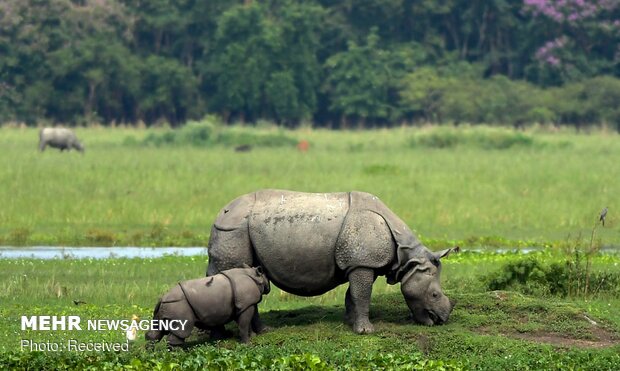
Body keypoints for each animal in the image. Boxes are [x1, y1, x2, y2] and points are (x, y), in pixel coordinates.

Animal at [206, 190, 458, 336]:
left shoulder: (361, 262)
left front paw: (350, 323)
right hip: (234, 230)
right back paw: (222, 335)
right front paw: (366, 331)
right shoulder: (362, 262)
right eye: (434, 295)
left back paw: (260, 331)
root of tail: (221, 212)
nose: (442, 320)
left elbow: (353, 294)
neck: (407, 256)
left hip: (233, 229)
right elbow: (362, 294)